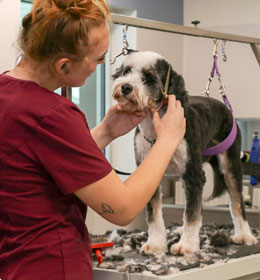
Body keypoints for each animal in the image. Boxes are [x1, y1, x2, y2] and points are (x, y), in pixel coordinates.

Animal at [111, 50, 258, 256]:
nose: (126, 87)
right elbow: (154, 214)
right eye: (126, 71)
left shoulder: (193, 174)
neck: (159, 130)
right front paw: (156, 244)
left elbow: (192, 213)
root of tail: (223, 106)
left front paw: (187, 245)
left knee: (236, 201)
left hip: (230, 162)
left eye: (148, 78)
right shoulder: (149, 174)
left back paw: (245, 235)